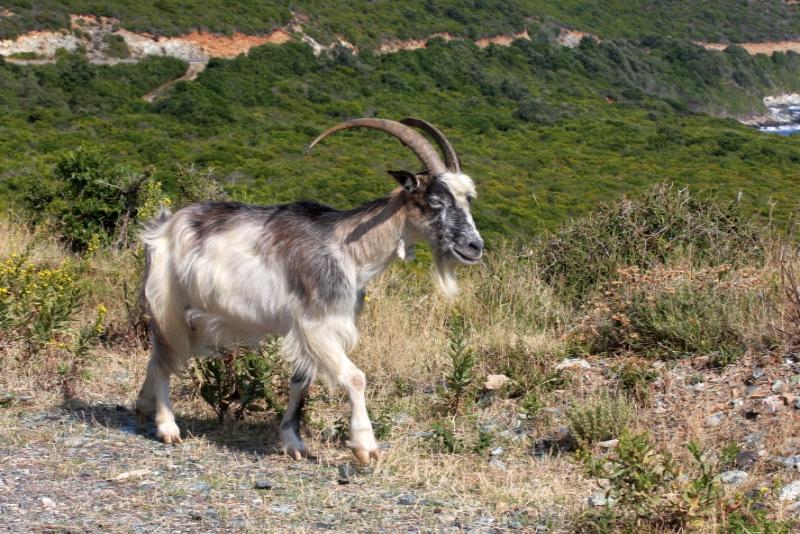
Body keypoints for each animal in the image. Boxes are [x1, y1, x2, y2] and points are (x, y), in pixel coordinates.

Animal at [135, 118, 484, 462]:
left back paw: (143, 406)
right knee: (165, 356)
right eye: (434, 201)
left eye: (468, 200)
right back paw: (167, 427)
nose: (474, 246)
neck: (346, 249)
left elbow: (300, 381)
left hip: (196, 315)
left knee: (161, 356)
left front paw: (293, 442)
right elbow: (355, 377)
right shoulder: (314, 324)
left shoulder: (312, 328)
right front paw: (365, 446)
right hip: (167, 303)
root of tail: (164, 226)